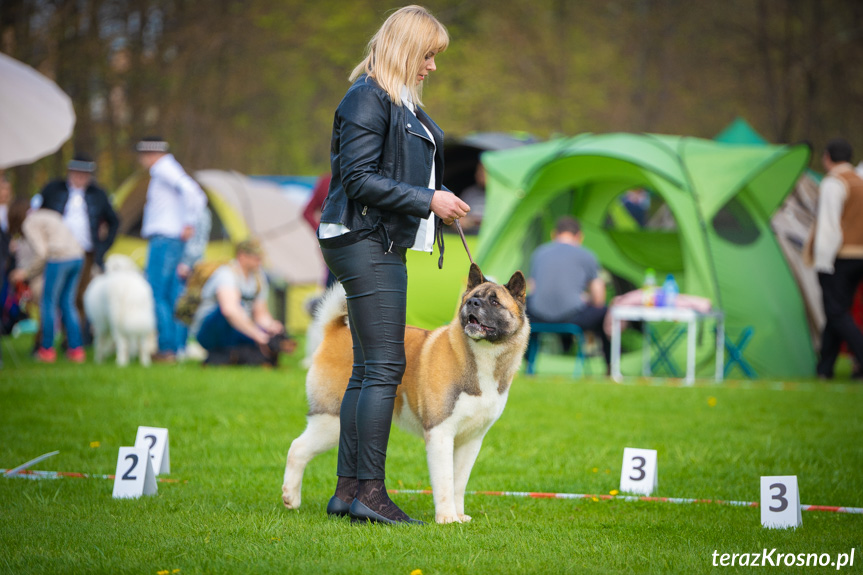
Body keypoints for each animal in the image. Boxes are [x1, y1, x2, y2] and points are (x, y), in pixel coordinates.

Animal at [284, 264, 528, 524]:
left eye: (495, 302)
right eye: (472, 297)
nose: (472, 303)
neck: (480, 355)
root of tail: (335, 331)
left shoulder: (471, 440)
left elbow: (459, 482)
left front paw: (459, 515)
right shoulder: (440, 433)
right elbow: (445, 481)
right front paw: (447, 518)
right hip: (331, 420)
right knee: (297, 448)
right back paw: (291, 497)